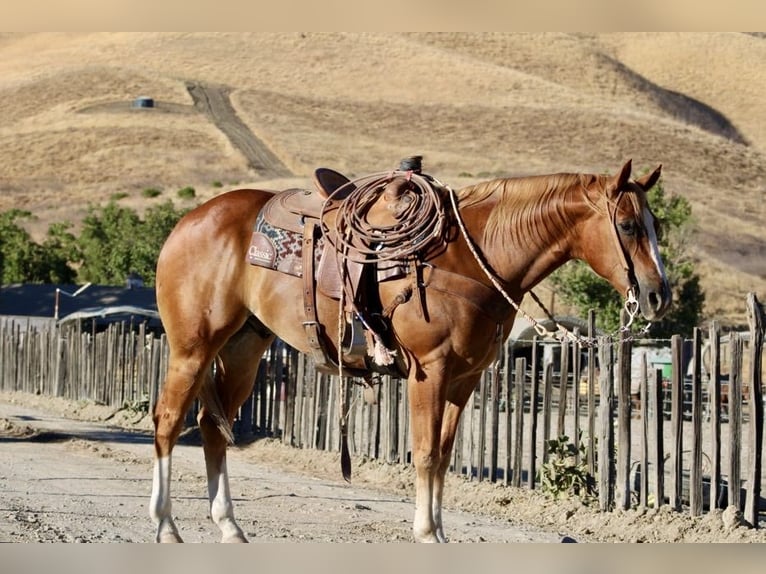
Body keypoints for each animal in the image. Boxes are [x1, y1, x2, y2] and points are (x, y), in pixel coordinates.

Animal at [149, 159, 671, 543]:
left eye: (656, 225)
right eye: (628, 225)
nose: (657, 296)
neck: (473, 257)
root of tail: (188, 222)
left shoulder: (464, 379)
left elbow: (442, 455)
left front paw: (438, 533)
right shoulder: (430, 371)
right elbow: (422, 453)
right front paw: (425, 534)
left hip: (244, 349)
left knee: (212, 429)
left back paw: (230, 527)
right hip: (193, 347)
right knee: (168, 421)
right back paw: (167, 527)